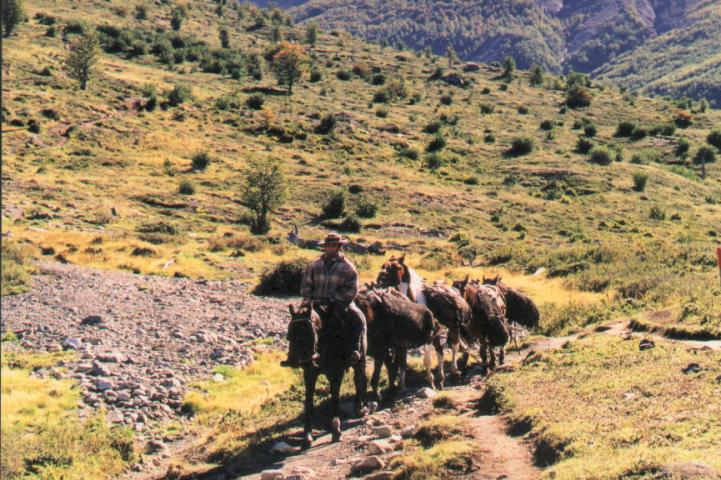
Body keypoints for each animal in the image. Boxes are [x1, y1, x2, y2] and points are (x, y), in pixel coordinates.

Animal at [286, 304, 368, 450]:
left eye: (311, 333)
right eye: (291, 334)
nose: (303, 361)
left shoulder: (337, 373)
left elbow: (335, 399)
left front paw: (336, 431)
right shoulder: (310, 375)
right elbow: (308, 403)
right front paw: (306, 438)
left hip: (360, 359)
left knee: (360, 380)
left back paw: (361, 408)